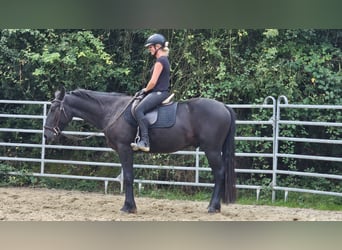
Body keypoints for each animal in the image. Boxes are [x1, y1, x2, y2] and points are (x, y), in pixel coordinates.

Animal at [44, 87, 236, 213]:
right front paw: (130, 206)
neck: (113, 111)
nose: (46, 134)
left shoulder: (124, 149)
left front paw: (128, 207)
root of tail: (224, 107)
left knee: (219, 173)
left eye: (53, 109)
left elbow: (128, 177)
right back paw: (215, 206)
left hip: (211, 150)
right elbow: (129, 176)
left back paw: (213, 207)